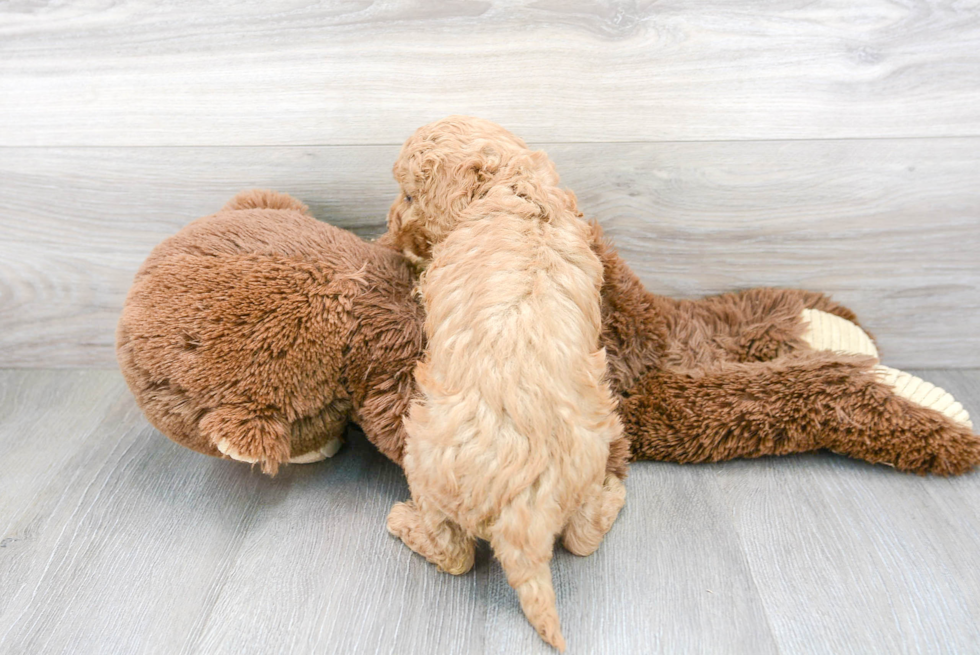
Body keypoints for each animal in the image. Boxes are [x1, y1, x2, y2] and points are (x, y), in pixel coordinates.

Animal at [382, 118, 628, 652]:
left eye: (409, 194)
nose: (389, 223)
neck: (515, 184)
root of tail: (525, 515)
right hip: (591, 452)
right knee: (581, 539)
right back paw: (614, 494)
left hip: (426, 464)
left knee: (454, 553)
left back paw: (403, 522)